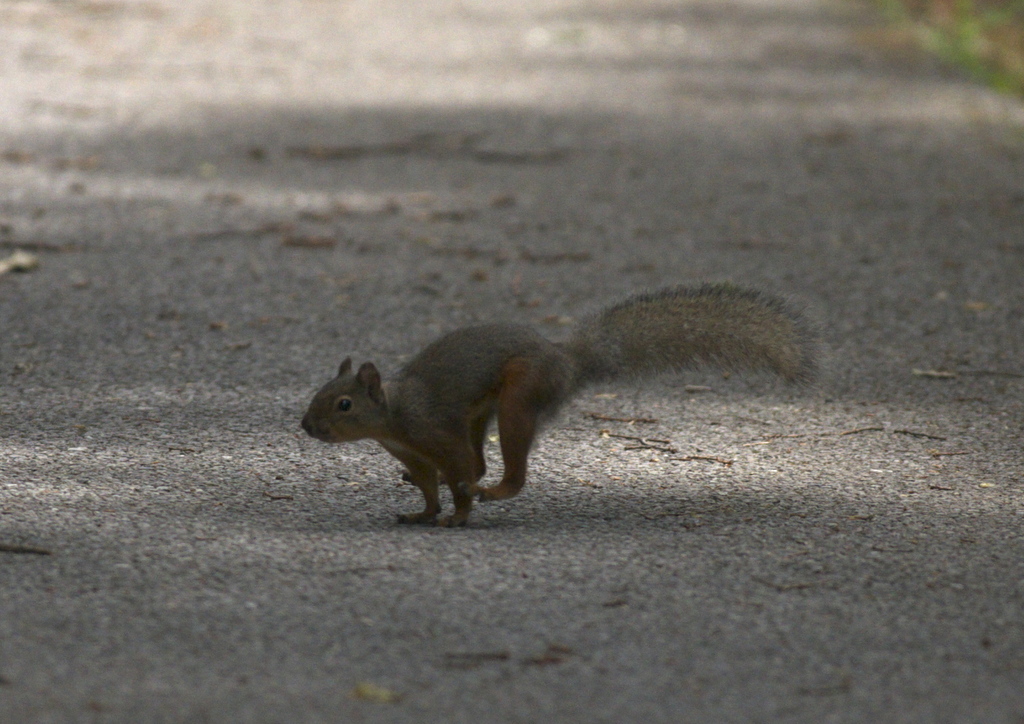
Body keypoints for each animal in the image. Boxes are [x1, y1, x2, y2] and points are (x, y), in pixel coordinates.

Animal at [301, 282, 815, 528]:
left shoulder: (435, 433)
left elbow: (458, 471)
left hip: (519, 397)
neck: (392, 419)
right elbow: (428, 486)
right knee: (482, 462)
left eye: (343, 404)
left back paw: (493, 491)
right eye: (318, 393)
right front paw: (422, 513)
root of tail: (565, 359)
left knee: (502, 471)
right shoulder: (414, 453)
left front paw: (458, 515)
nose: (307, 426)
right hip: (483, 412)